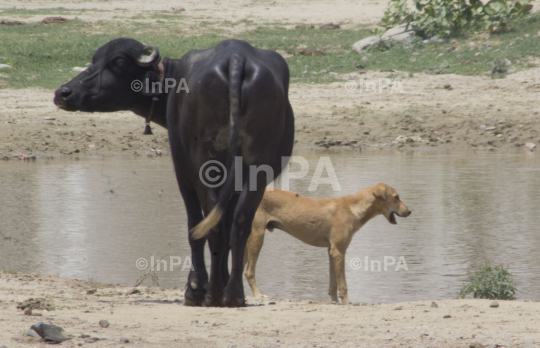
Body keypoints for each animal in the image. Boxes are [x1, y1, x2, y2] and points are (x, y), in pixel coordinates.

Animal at [54, 38, 296, 308]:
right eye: (95, 60)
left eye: (118, 63)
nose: (63, 93)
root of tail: (236, 58)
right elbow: (227, 223)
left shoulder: (182, 170)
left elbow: (194, 225)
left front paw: (195, 288)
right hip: (256, 171)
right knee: (239, 223)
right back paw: (233, 295)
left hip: (204, 167)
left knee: (210, 226)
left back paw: (212, 294)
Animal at [243, 184, 412, 304]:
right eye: (396, 197)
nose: (410, 212)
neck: (352, 208)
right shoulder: (339, 251)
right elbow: (343, 284)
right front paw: (347, 302)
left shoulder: (332, 251)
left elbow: (333, 285)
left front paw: (335, 302)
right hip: (257, 237)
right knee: (249, 272)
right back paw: (258, 295)